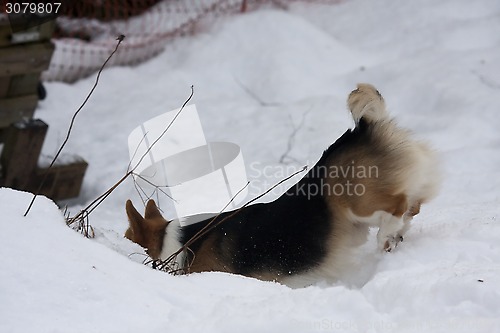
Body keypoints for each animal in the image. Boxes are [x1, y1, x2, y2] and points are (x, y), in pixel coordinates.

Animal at [125, 84, 442, 286]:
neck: (178, 242)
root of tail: (363, 127)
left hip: (356, 202)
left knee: (397, 206)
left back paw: (387, 236)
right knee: (413, 206)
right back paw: (396, 235)